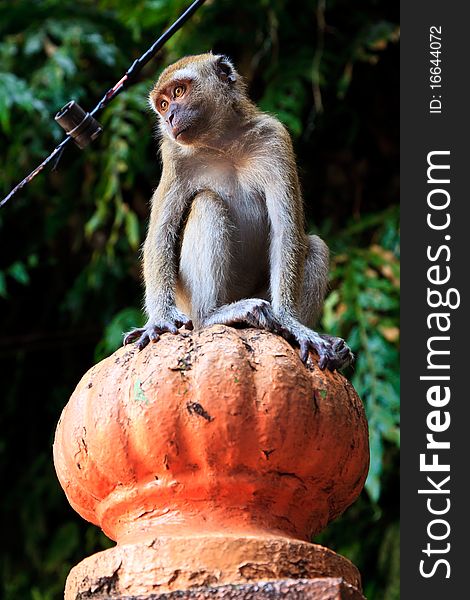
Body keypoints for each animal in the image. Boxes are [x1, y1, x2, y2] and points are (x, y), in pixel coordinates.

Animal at [125, 52, 352, 370]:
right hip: (190, 301)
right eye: (163, 104)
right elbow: (161, 235)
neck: (222, 141)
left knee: (315, 246)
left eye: (179, 92)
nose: (168, 118)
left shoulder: (274, 139)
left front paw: (291, 323)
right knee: (207, 203)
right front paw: (160, 320)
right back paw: (213, 315)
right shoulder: (174, 157)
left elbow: (287, 232)